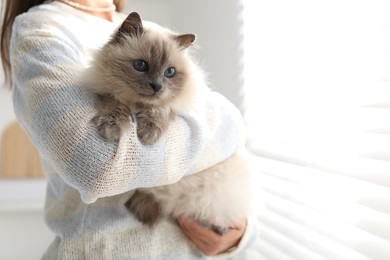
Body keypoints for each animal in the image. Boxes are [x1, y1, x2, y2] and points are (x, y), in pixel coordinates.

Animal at [83, 12, 251, 235]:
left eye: (169, 72)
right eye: (141, 66)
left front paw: (148, 133)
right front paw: (112, 127)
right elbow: (114, 104)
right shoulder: (106, 92)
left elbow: (161, 109)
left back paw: (218, 227)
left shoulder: (177, 107)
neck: (136, 105)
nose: (157, 86)